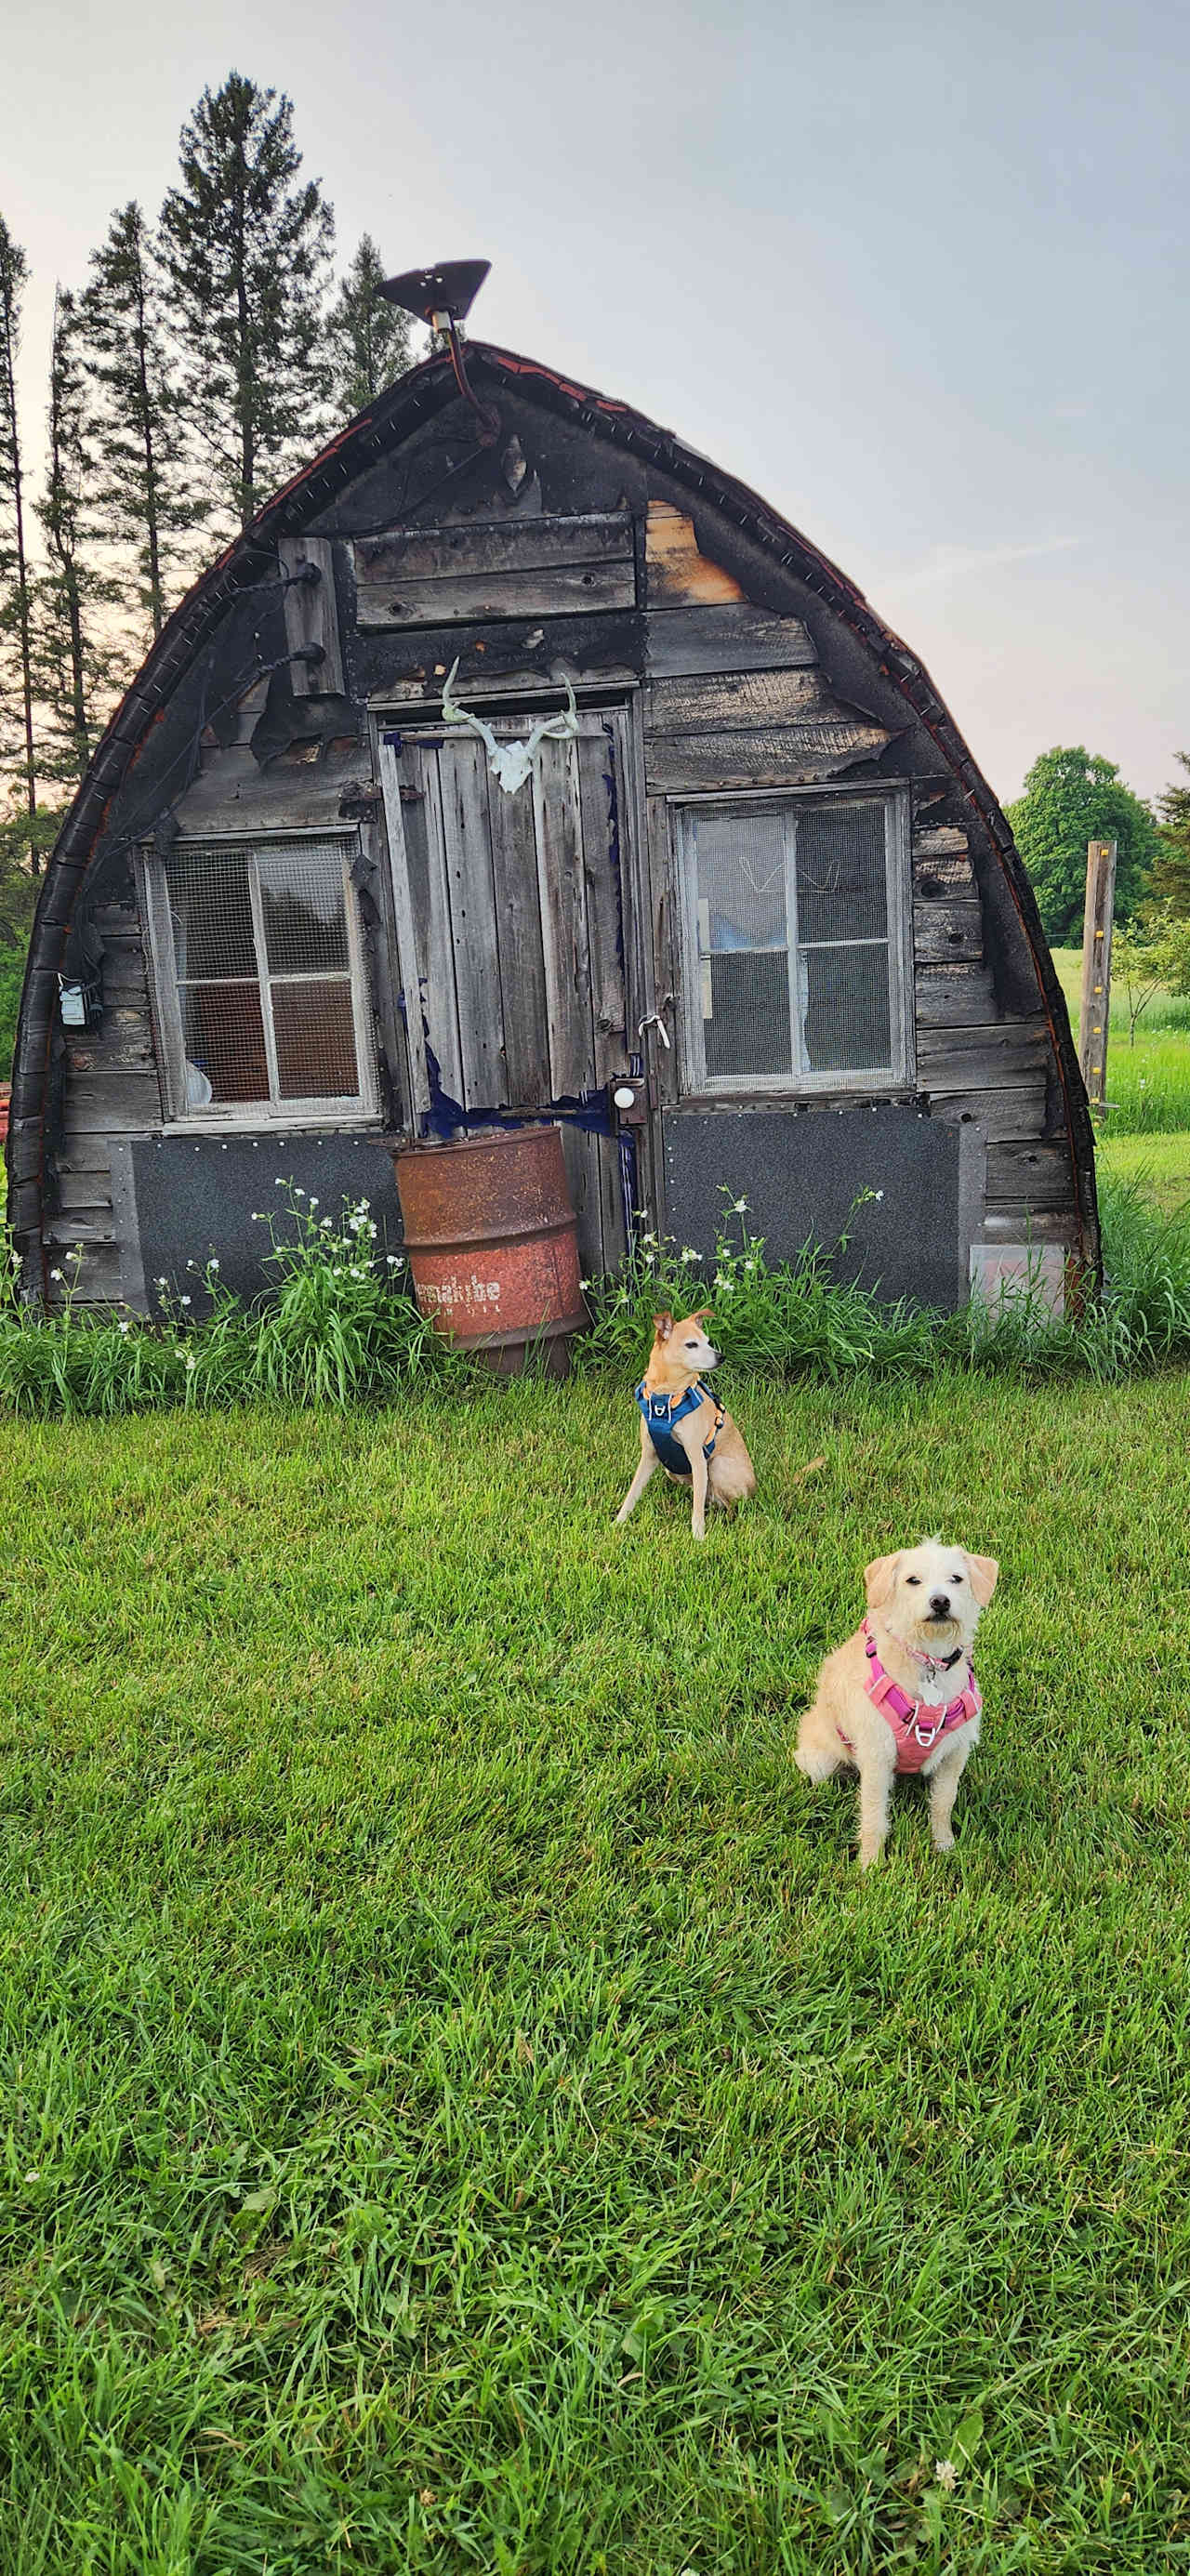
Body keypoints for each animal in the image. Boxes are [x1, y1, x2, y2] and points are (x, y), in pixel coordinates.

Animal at [613, 1318, 752, 1535]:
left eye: (708, 1342)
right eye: (691, 1344)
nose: (721, 1357)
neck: (664, 1397)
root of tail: (755, 1488)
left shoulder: (697, 1458)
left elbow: (697, 1512)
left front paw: (698, 1536)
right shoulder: (649, 1455)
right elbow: (633, 1493)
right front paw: (619, 1522)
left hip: (717, 1465)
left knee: (730, 1506)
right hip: (673, 1471)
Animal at [793, 1535, 998, 1865]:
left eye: (956, 1578)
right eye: (912, 1580)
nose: (940, 1601)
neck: (928, 1661)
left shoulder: (955, 1754)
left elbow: (944, 1801)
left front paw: (944, 1844)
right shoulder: (877, 1756)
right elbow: (874, 1815)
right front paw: (870, 1865)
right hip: (820, 1760)